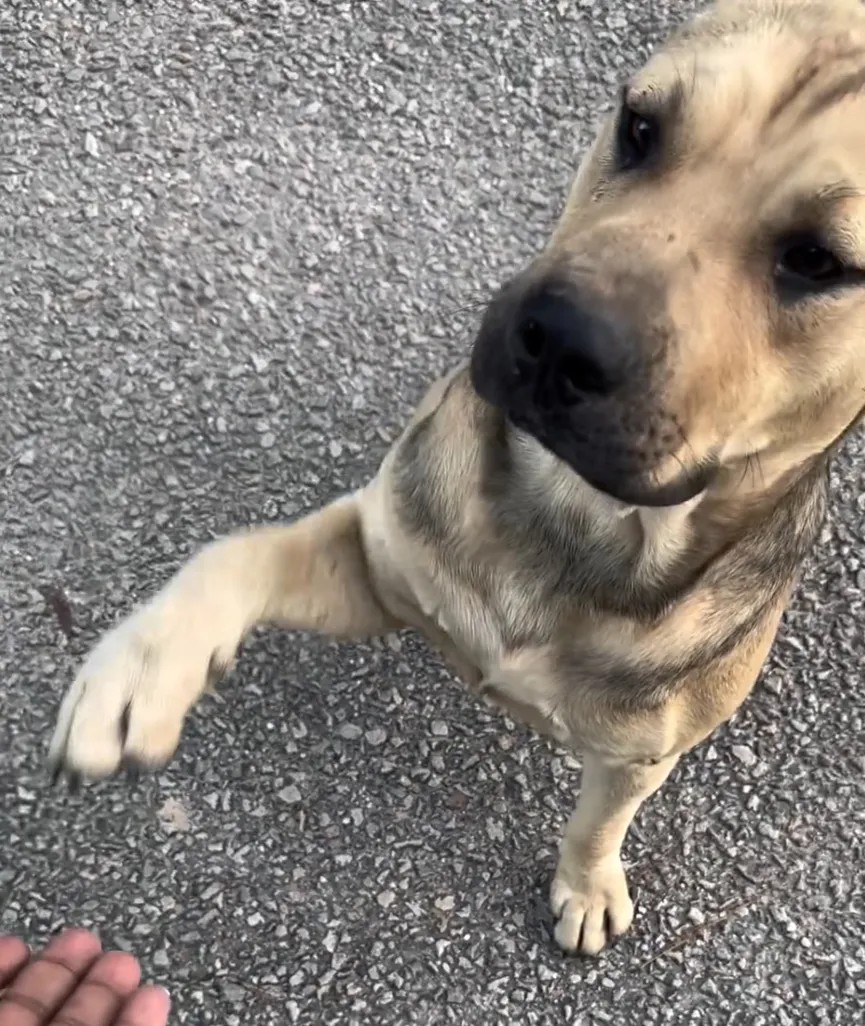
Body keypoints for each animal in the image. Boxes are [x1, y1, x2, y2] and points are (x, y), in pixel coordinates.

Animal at [47, 0, 865, 956]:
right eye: (638, 126)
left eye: (818, 261)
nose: (557, 338)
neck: (574, 517)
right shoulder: (376, 563)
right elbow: (235, 552)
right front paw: (139, 668)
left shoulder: (639, 753)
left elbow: (596, 823)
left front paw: (586, 884)